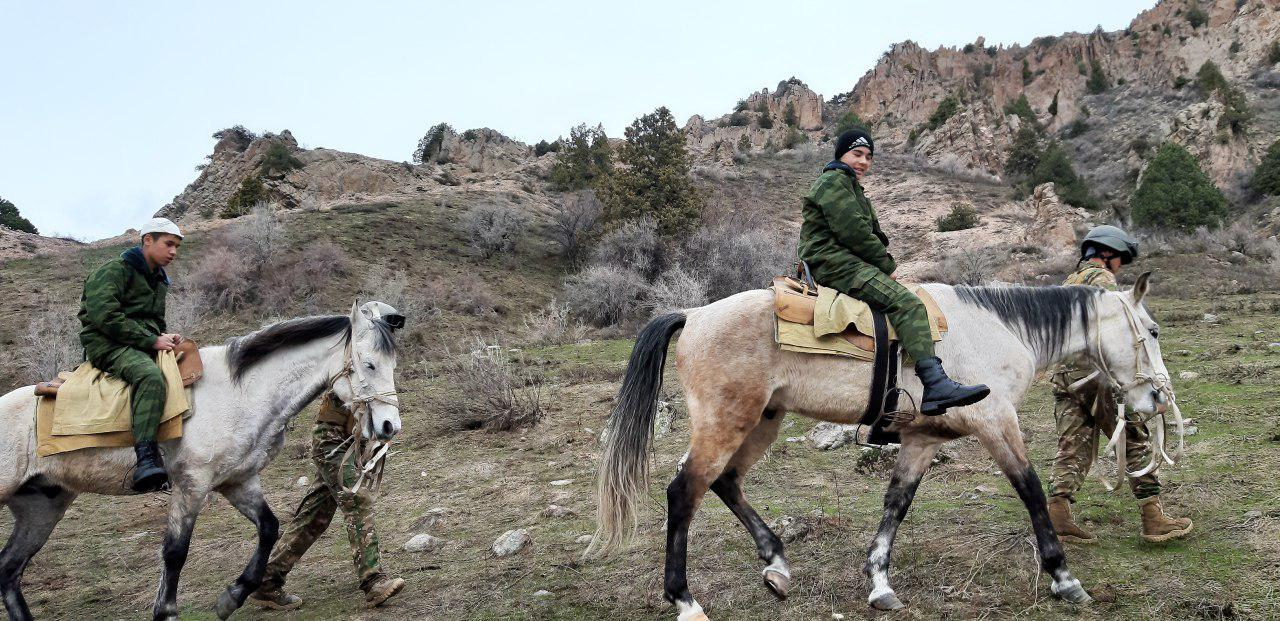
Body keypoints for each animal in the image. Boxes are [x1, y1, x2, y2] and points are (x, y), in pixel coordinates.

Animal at [0, 300, 401, 619]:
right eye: (369, 365)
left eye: (391, 365)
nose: (389, 426)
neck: (242, 392)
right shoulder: (192, 484)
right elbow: (175, 551)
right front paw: (167, 611)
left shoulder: (238, 481)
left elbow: (269, 528)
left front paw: (233, 597)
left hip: (42, 508)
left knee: (9, 570)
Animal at [588, 274, 1177, 617]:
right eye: (1150, 330)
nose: (1156, 399)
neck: (998, 329)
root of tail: (693, 315)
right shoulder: (996, 423)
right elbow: (1031, 490)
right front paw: (1063, 577)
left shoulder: (920, 439)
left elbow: (897, 503)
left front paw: (879, 583)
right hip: (726, 423)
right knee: (684, 490)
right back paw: (686, 600)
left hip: (761, 423)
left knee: (726, 483)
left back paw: (777, 565)